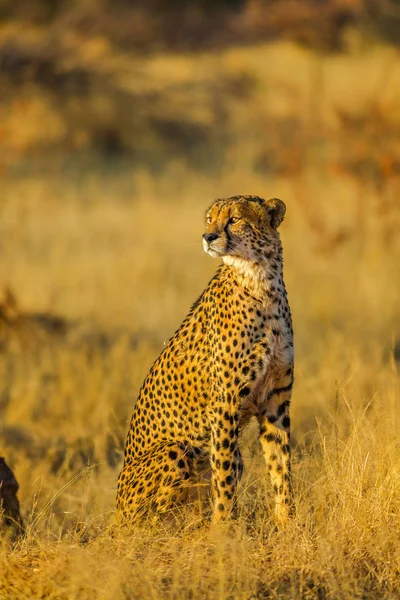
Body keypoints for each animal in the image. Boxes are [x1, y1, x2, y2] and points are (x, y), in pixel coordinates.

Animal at [115, 196, 294, 524]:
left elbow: (281, 466)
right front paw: (223, 528)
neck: (261, 279)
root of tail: (115, 513)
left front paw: (289, 523)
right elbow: (223, 477)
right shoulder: (224, 404)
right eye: (210, 219)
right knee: (154, 519)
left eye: (234, 219)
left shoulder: (276, 401)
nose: (208, 237)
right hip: (173, 451)